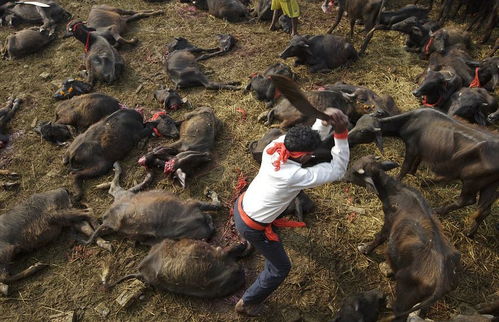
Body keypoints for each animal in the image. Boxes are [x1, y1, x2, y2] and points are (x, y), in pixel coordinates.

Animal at [84, 162, 219, 245]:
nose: (211, 225)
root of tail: (107, 217)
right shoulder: (193, 203)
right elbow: (217, 205)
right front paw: (210, 193)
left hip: (116, 221)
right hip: (124, 194)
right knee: (113, 186)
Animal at [348, 108, 499, 236]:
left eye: (363, 131)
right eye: (358, 122)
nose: (348, 136)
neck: (411, 121)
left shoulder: (412, 148)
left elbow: (405, 167)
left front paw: (397, 179)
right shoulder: (420, 151)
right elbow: (415, 164)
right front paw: (414, 174)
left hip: (471, 181)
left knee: (467, 200)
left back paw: (438, 210)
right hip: (490, 186)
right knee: (484, 210)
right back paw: (470, 232)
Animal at [348, 155, 460, 320]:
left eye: (353, 170)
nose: (343, 174)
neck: (394, 192)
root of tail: (442, 282)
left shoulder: (389, 222)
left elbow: (379, 237)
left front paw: (365, 248)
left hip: (406, 293)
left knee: (399, 312)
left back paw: (390, 303)